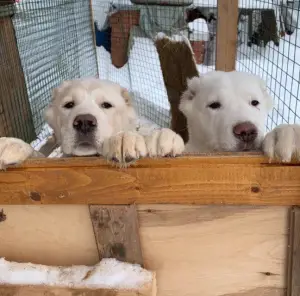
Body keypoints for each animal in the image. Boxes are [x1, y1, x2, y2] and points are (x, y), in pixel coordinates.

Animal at [0, 77, 184, 169]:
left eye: (106, 105)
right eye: (69, 105)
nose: (84, 122)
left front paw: (157, 138)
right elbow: (37, 155)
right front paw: (12, 145)